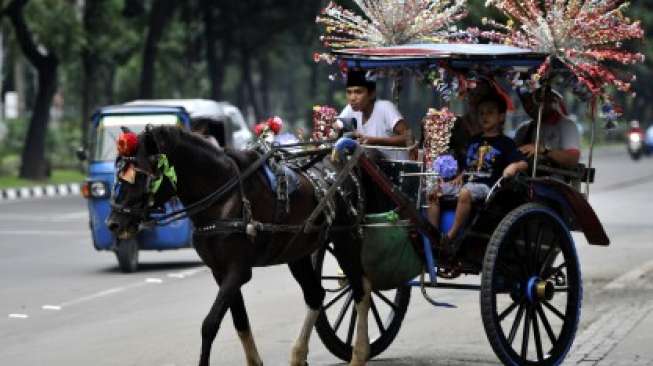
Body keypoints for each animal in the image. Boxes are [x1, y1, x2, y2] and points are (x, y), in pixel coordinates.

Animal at [107, 126, 372, 366]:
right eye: (119, 176)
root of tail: (339, 161)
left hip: (345, 239)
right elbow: (239, 321)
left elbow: (210, 324)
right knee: (316, 295)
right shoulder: (220, 272)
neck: (224, 197)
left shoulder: (238, 270)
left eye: (141, 176)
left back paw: (359, 354)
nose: (113, 223)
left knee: (361, 290)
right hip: (297, 253)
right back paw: (299, 356)